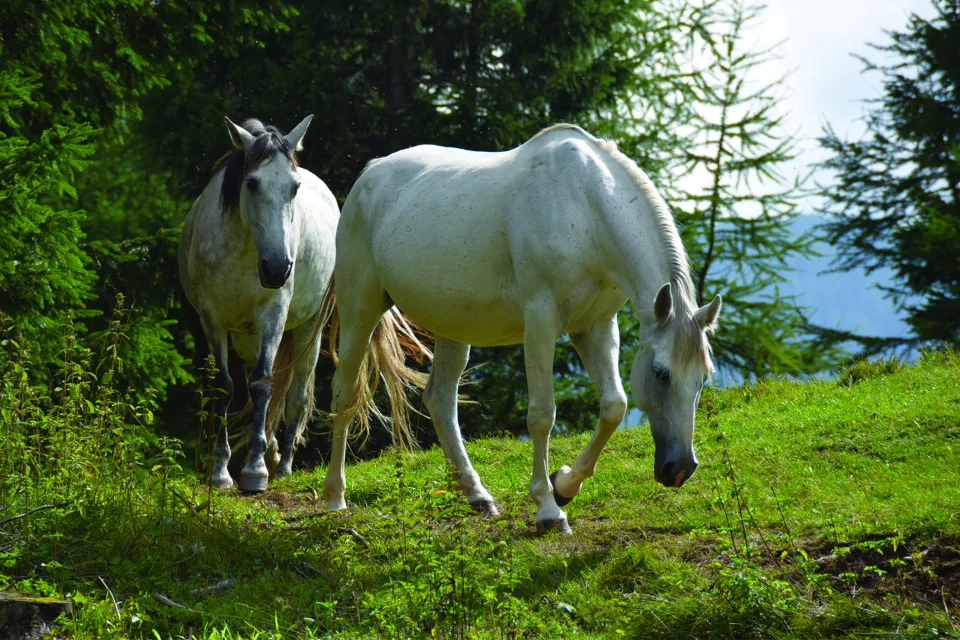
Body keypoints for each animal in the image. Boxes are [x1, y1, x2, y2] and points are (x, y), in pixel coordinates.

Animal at [179, 115, 339, 493]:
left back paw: (283, 466)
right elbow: (226, 387)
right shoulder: (213, 320)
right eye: (251, 183)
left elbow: (263, 382)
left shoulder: (273, 314)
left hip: (310, 328)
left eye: (294, 187)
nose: (278, 267)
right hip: (246, 336)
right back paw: (273, 453)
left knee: (296, 395)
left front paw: (255, 472)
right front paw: (221, 471)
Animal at [319, 124, 722, 533]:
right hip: (360, 310)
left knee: (440, 399)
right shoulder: (541, 321)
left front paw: (565, 485)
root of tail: (371, 173)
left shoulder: (595, 327)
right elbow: (542, 415)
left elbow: (614, 406)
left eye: (704, 378)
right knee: (344, 394)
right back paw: (335, 497)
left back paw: (477, 495)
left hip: (453, 327)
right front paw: (548, 508)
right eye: (661, 373)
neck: (585, 205)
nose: (679, 468)